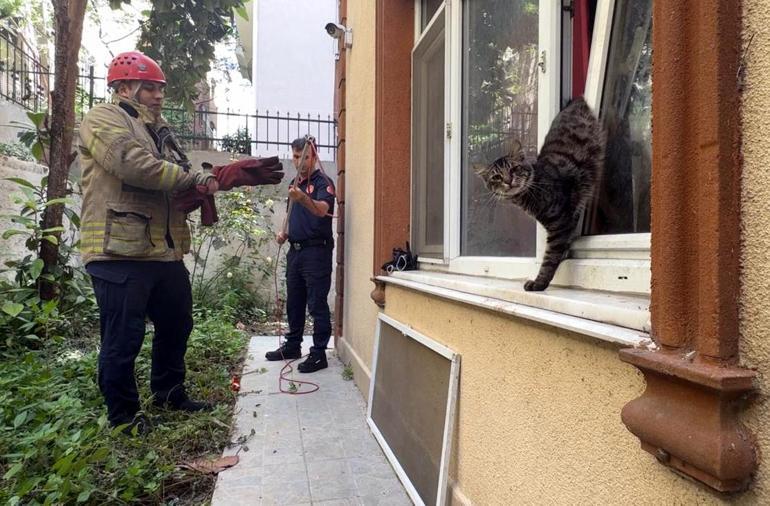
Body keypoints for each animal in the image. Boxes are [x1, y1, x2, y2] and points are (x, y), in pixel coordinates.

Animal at [474, 97, 608, 290]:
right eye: (496, 177)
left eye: (514, 169)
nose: (508, 181)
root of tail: (575, 101)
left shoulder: (559, 225)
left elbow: (549, 259)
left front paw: (539, 282)